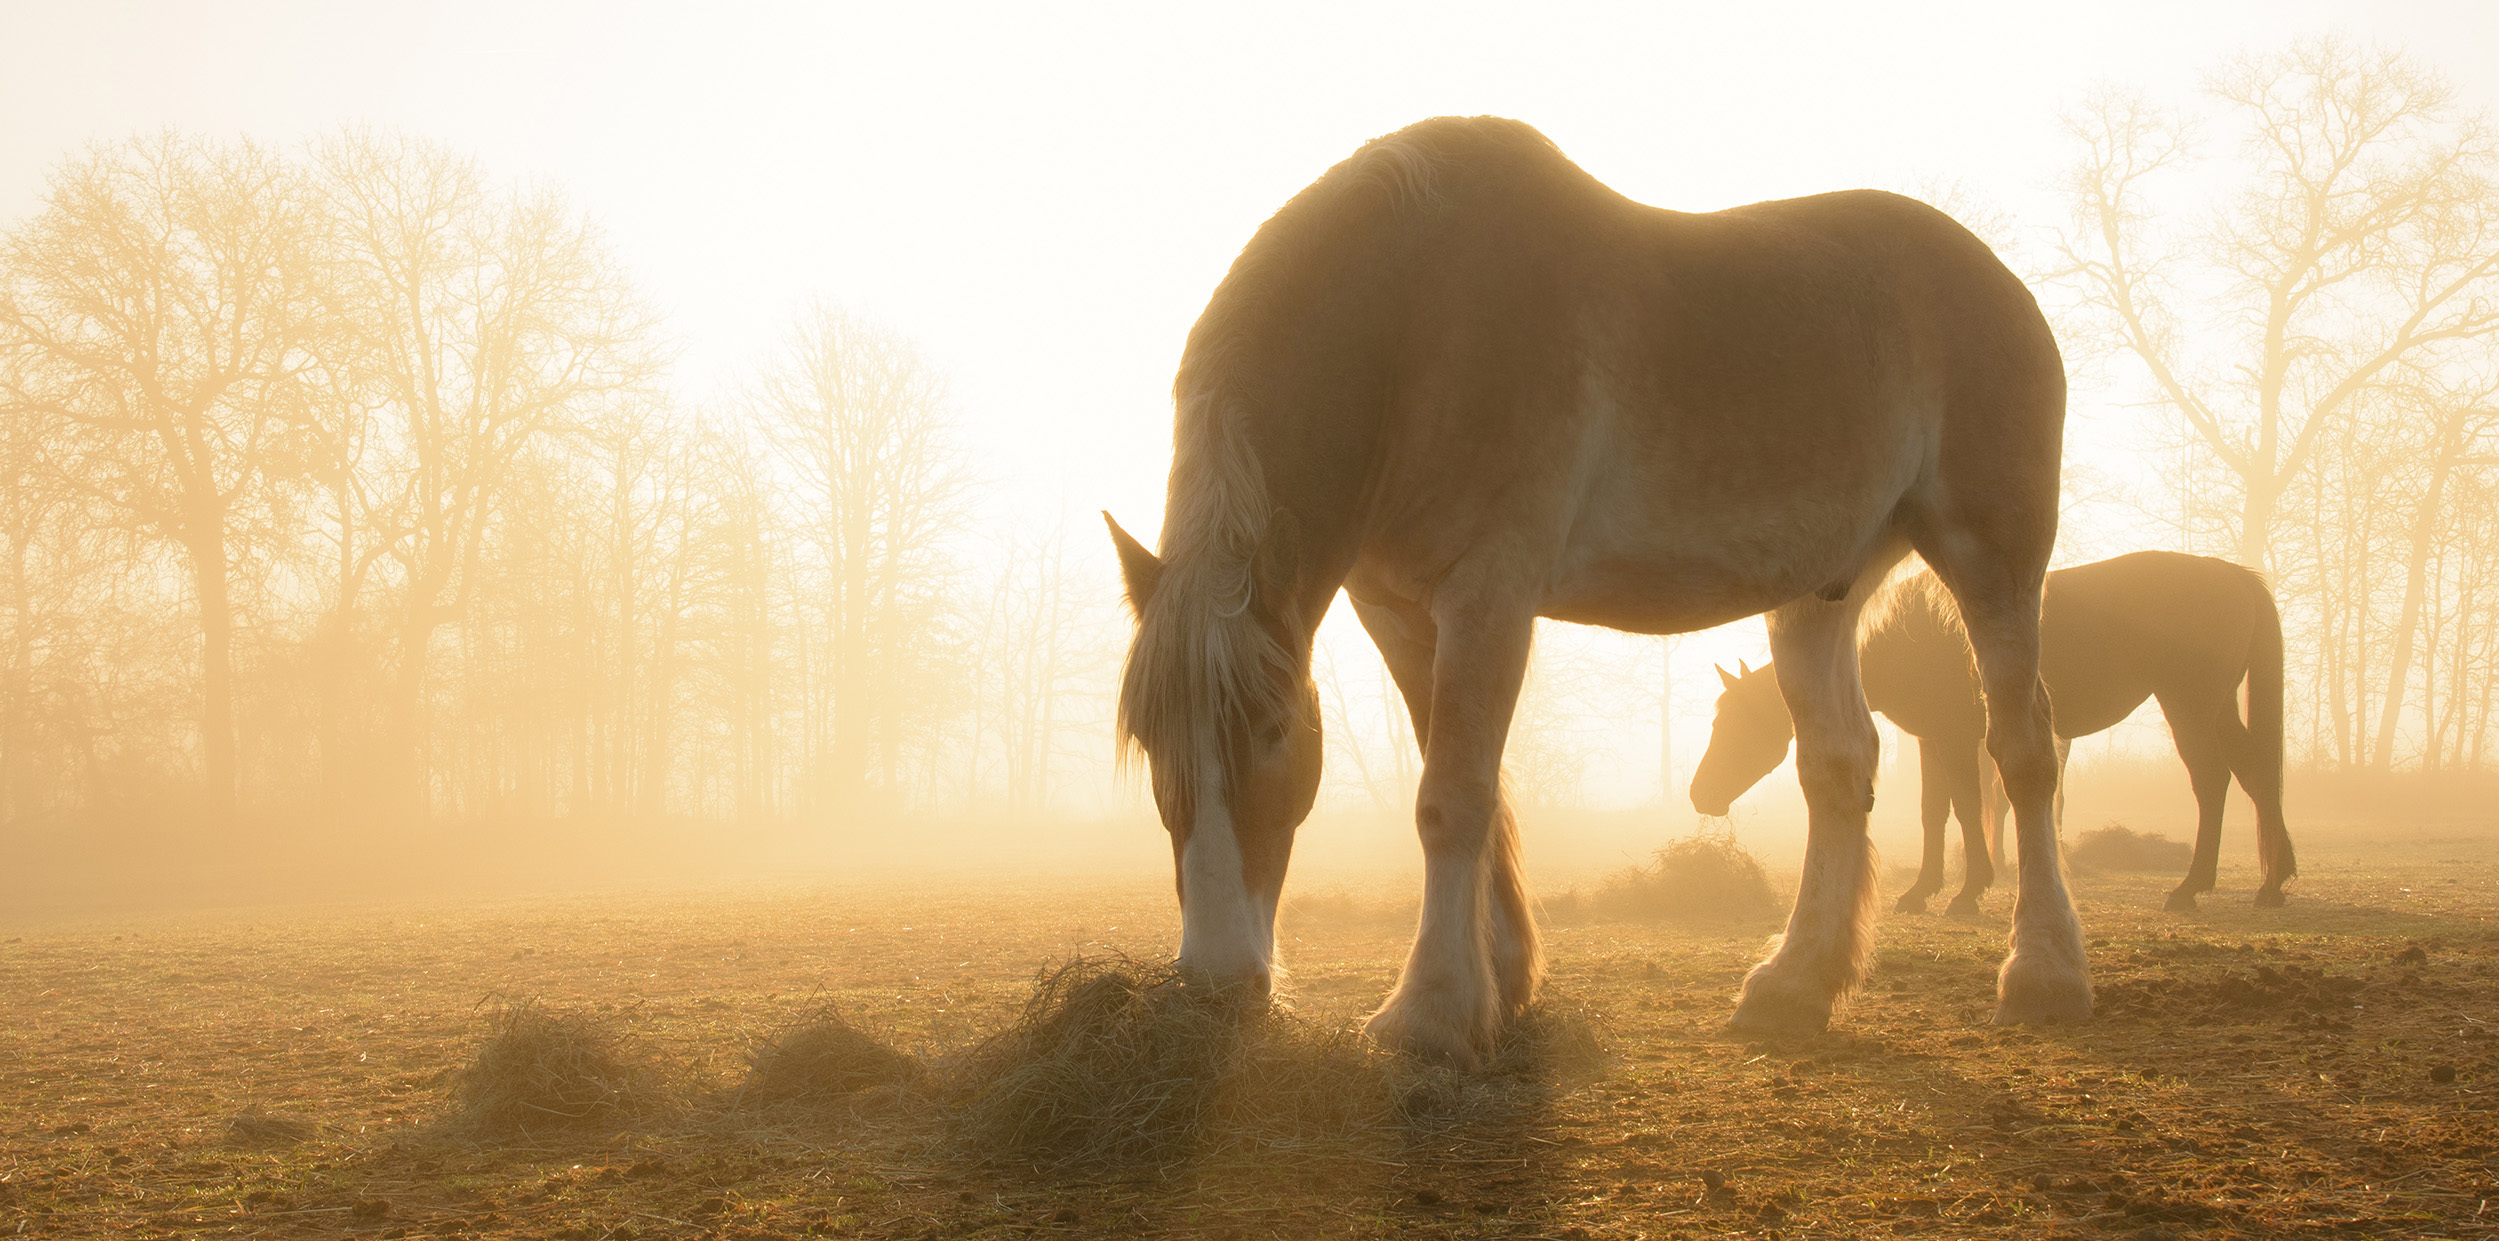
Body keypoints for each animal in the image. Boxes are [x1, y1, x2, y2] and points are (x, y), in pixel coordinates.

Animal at [1104, 118, 2079, 1063]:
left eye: (1273, 730)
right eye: (1149, 739)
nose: (1218, 981)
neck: (1415, 324)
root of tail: (2001, 284)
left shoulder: (1489, 596)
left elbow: (1451, 799)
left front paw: (1429, 1012)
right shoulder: (1399, 615)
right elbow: (1476, 789)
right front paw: (1502, 985)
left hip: (1992, 562)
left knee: (2022, 749)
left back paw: (2041, 973)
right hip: (1816, 594)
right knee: (1838, 766)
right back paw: (1793, 984)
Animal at [1689, 551, 2289, 908]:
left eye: (1734, 725)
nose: (1699, 795)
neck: (1906, 639)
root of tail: (2235, 576)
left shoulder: (1956, 738)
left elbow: (1964, 805)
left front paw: (1968, 890)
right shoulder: (1931, 739)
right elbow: (1933, 811)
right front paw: (1922, 890)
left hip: (2188, 703)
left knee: (2213, 780)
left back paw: (2192, 886)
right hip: (2217, 707)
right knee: (2257, 773)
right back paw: (2273, 881)